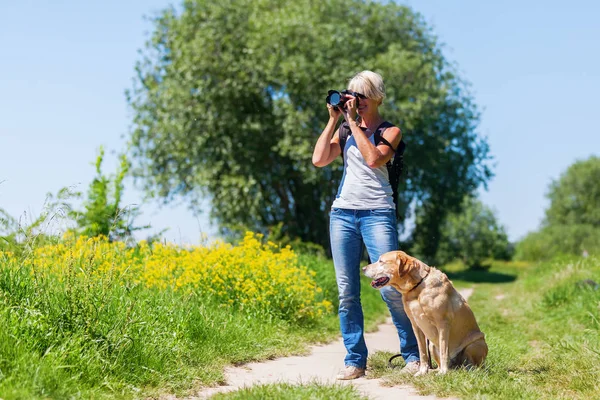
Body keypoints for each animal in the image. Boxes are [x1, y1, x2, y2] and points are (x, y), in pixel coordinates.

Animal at [360, 250, 488, 376]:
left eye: (381, 261)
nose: (363, 268)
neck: (417, 288)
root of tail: (455, 366)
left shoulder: (443, 323)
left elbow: (444, 349)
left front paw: (443, 372)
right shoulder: (416, 325)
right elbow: (422, 352)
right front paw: (422, 371)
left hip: (476, 343)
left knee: (473, 365)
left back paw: (466, 369)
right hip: (432, 346)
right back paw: (434, 371)